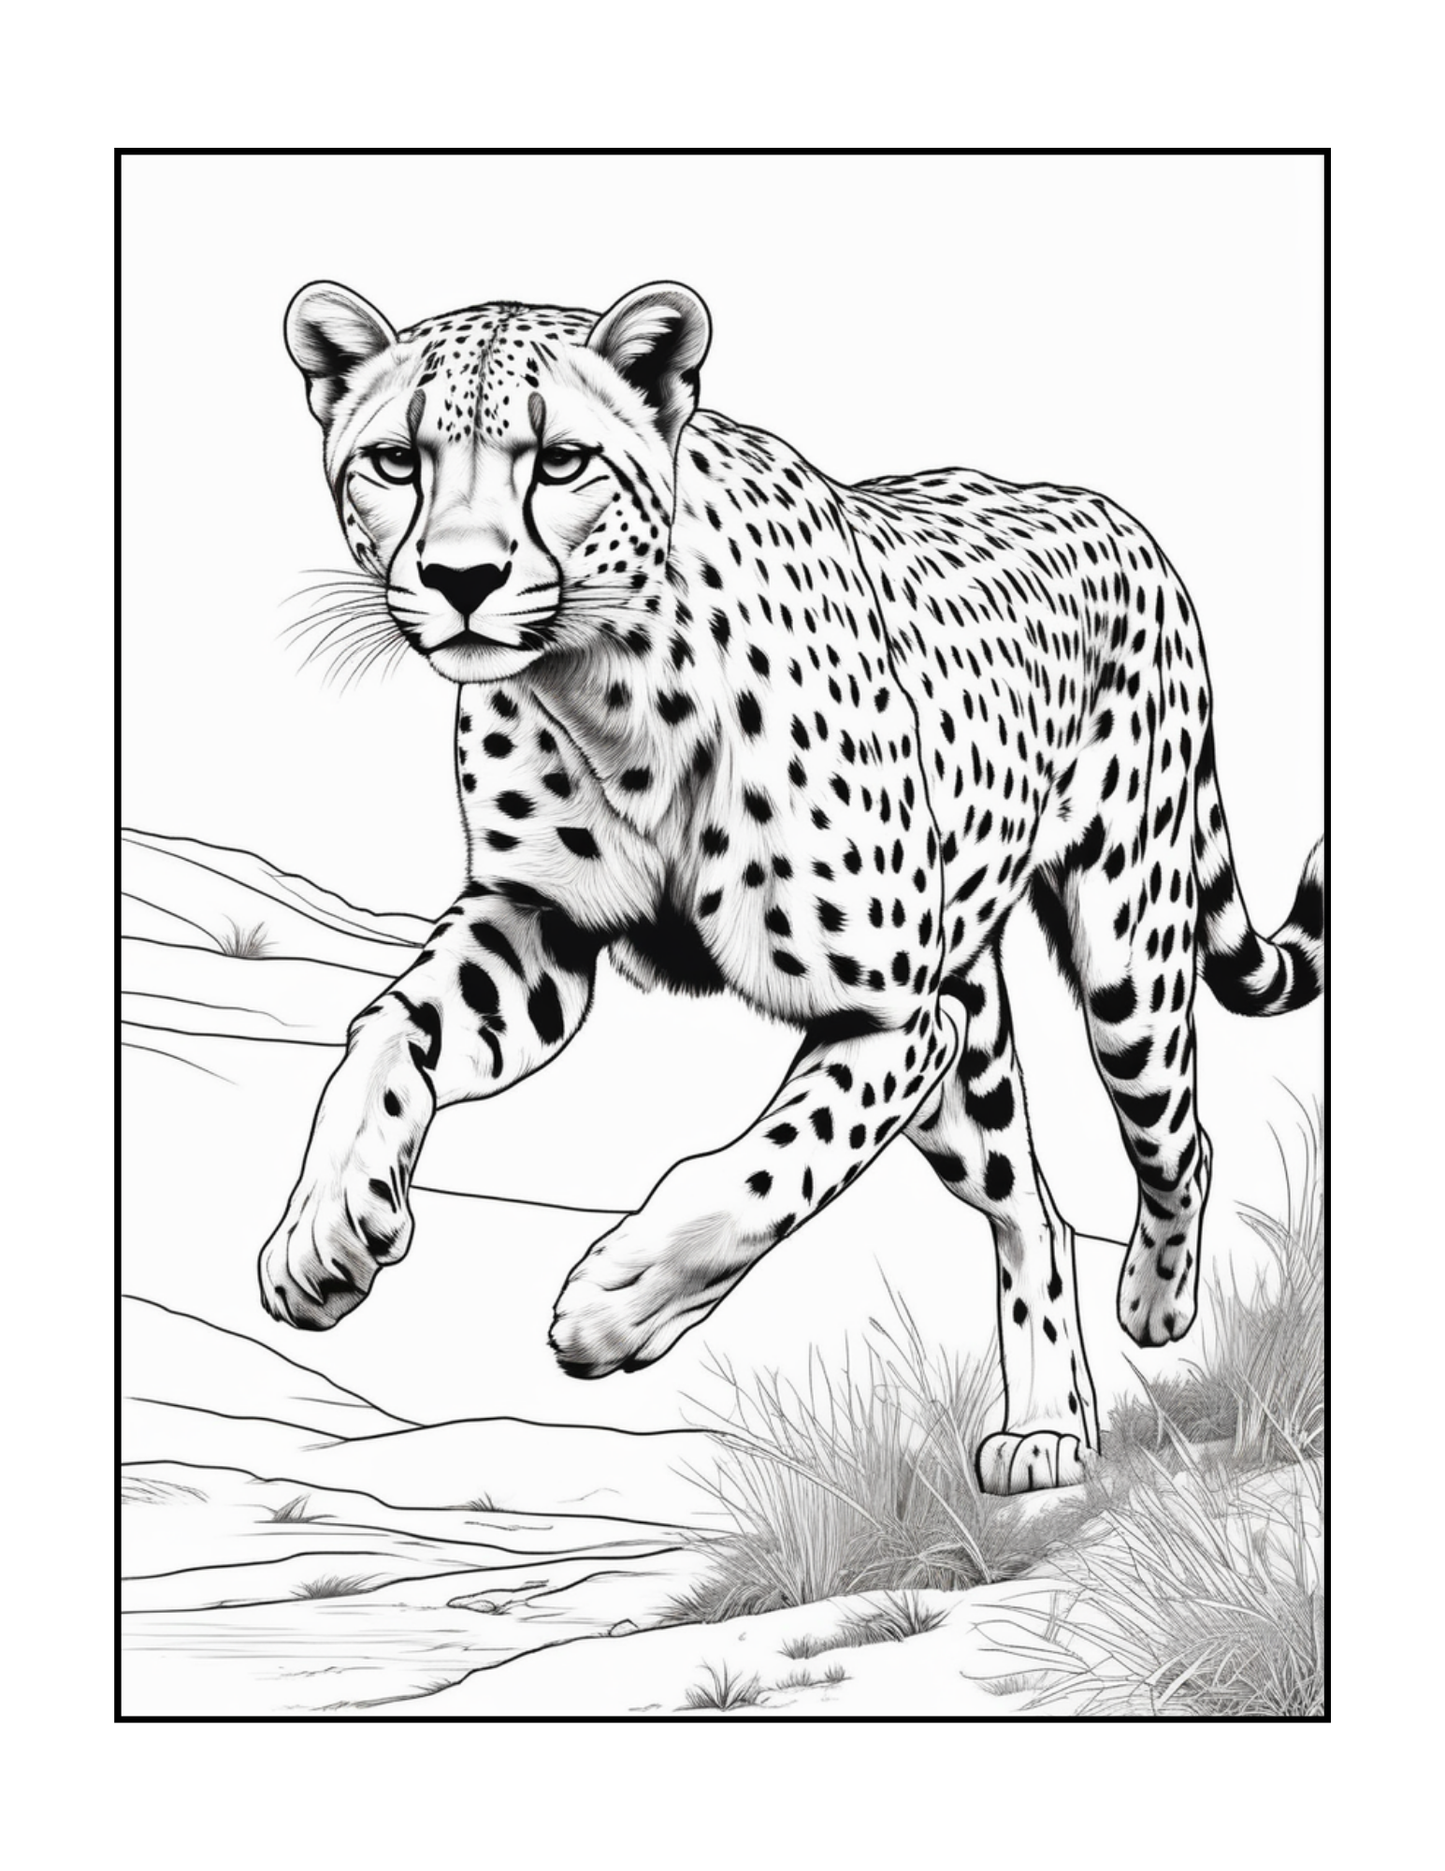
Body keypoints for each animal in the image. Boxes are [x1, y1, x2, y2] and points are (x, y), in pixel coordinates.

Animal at [261, 277, 1323, 1494]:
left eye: (561, 460)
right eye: (395, 460)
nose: (462, 579)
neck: (605, 688)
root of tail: (1113, 514)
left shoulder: (891, 1012)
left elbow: (770, 1165)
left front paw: (618, 1302)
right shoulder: (538, 923)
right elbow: (386, 1032)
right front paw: (324, 1229)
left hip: (1123, 953)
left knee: (1175, 1139)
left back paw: (1151, 1301)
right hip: (971, 1046)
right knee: (1030, 1209)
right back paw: (1049, 1424)